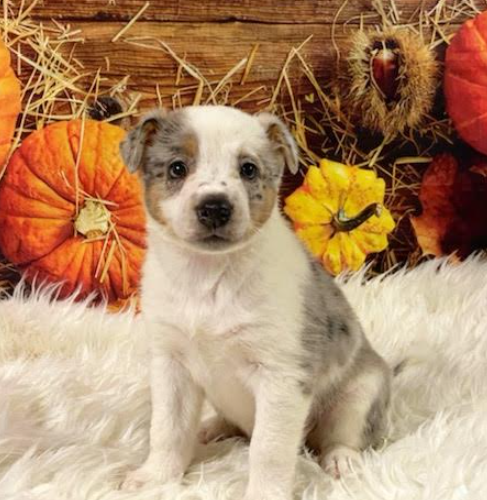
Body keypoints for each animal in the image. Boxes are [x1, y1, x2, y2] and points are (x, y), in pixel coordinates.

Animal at [120, 105, 391, 500]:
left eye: (248, 169)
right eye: (177, 168)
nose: (215, 208)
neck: (209, 277)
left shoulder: (281, 377)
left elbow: (268, 449)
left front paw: (265, 492)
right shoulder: (172, 366)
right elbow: (168, 430)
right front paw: (156, 478)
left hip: (361, 390)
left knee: (343, 434)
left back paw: (342, 459)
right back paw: (212, 427)